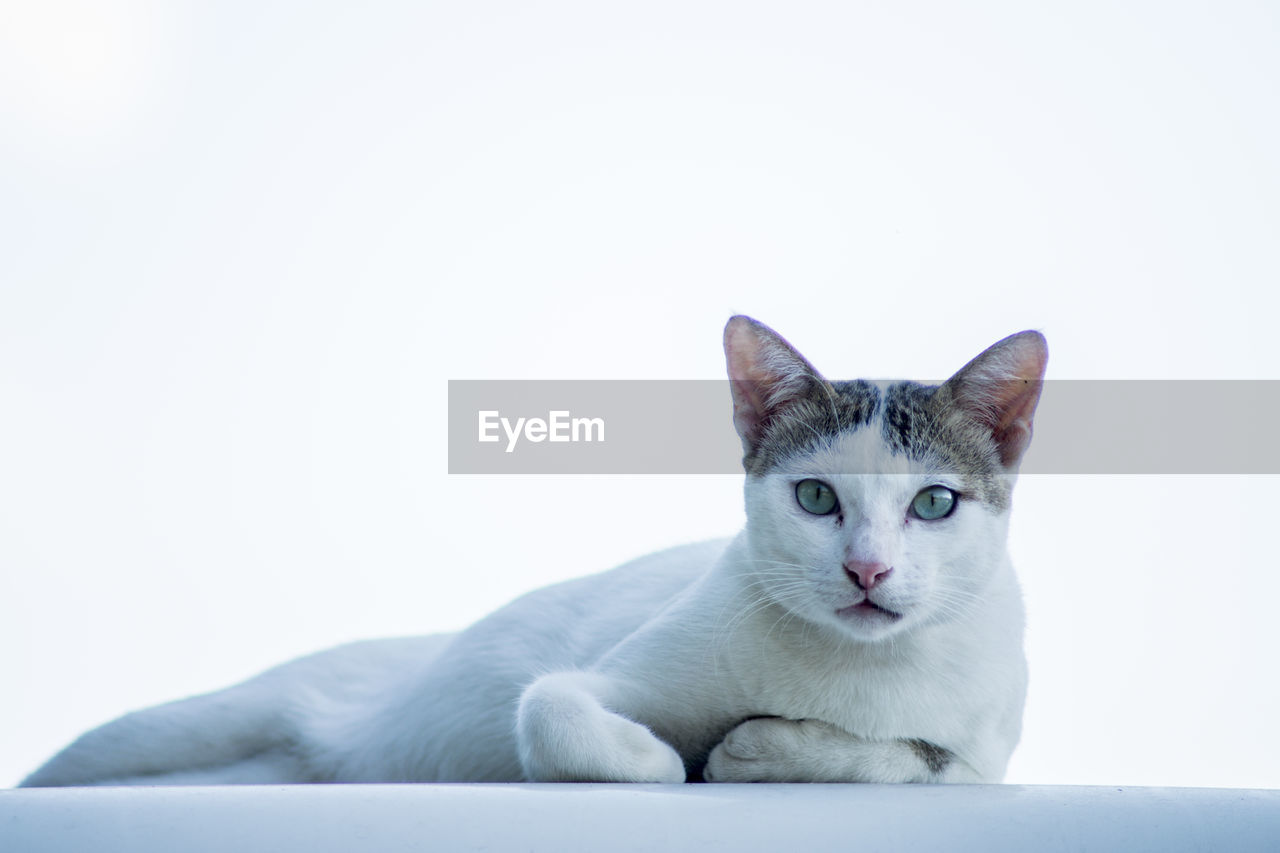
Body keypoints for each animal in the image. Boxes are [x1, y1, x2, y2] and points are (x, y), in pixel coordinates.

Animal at [20, 313, 1044, 783]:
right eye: (818, 496)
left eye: (935, 503)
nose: (867, 569)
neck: (842, 669)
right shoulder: (592, 682)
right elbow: (555, 711)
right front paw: (668, 759)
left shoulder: (980, 755)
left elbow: (907, 753)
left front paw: (759, 747)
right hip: (180, 724)